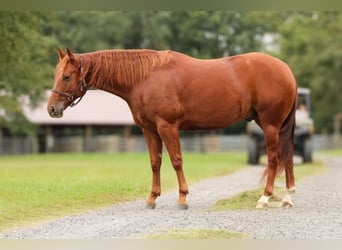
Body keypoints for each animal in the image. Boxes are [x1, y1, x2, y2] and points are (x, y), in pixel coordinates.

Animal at [47, 48, 296, 209]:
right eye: (56, 75)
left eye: (67, 77)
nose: (52, 109)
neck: (145, 77)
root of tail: (286, 69)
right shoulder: (149, 130)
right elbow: (155, 162)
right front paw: (152, 198)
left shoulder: (167, 127)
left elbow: (176, 160)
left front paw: (183, 198)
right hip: (274, 125)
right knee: (288, 157)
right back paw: (287, 197)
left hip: (270, 125)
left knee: (274, 159)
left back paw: (265, 198)